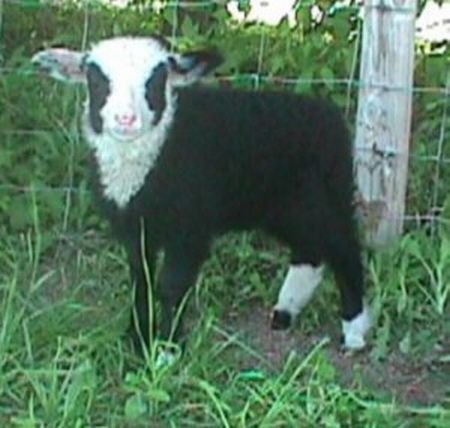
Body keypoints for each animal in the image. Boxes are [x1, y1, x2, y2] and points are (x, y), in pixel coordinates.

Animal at [30, 34, 370, 354]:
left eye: (156, 79)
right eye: (96, 78)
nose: (125, 119)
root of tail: (330, 115)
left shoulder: (189, 228)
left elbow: (171, 286)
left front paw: (166, 350)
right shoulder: (136, 229)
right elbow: (140, 280)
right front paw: (137, 338)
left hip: (324, 197)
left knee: (345, 249)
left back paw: (354, 331)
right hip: (284, 208)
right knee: (310, 251)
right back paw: (285, 312)